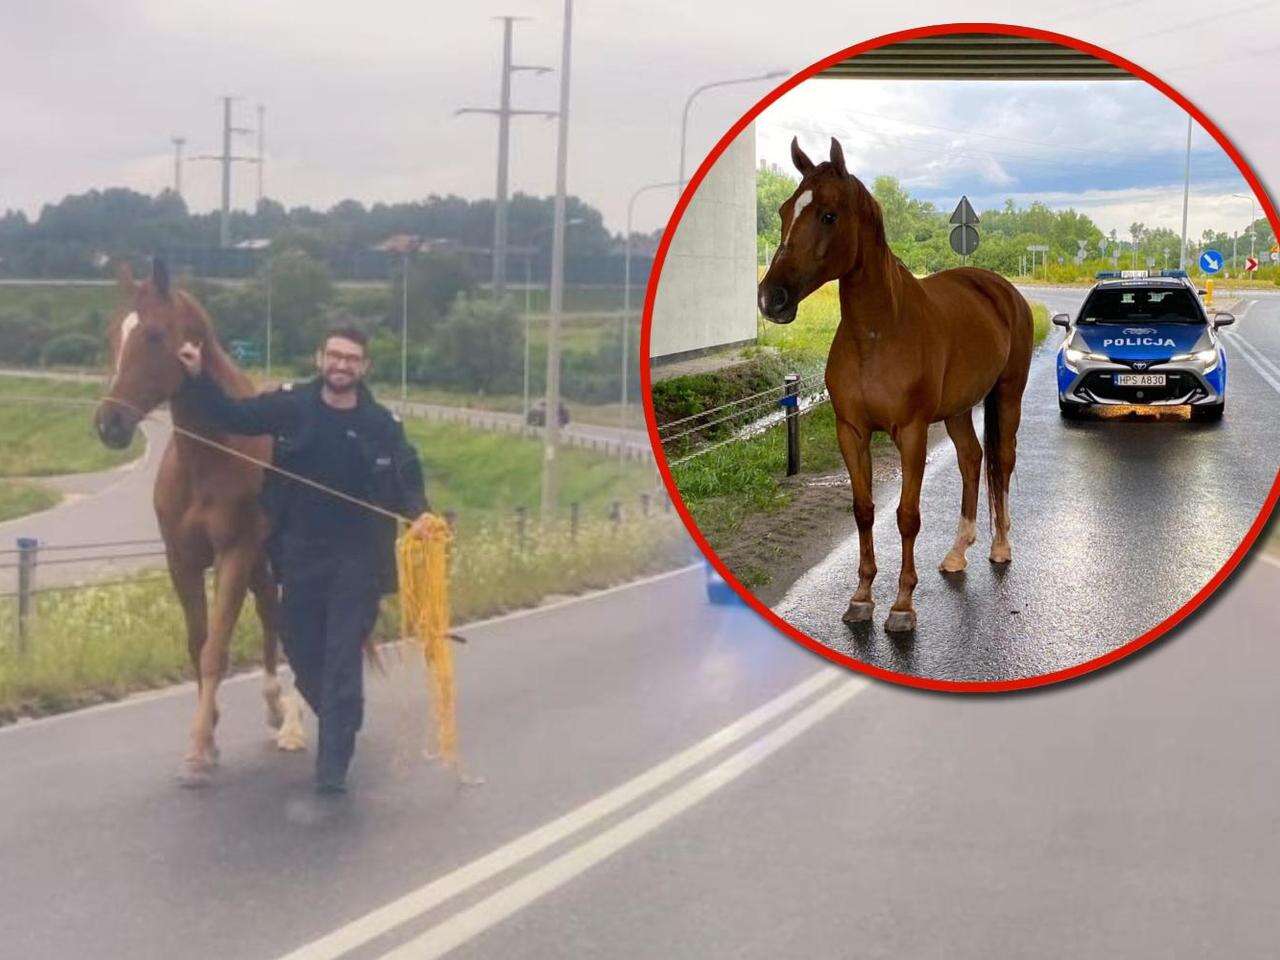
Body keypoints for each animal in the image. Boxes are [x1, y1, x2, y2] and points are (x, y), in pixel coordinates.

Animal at [94, 259, 304, 783]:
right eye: (113, 333)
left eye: (153, 335)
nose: (109, 424)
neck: (213, 453)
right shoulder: (183, 560)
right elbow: (197, 643)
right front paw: (208, 732)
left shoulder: (234, 554)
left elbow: (216, 649)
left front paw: (198, 745)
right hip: (261, 563)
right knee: (271, 613)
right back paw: (275, 708)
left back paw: (292, 721)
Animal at [757, 135, 1029, 632]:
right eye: (786, 210)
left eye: (828, 215)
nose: (772, 298)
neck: (878, 333)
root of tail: (1000, 289)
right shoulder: (851, 432)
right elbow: (864, 511)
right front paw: (861, 598)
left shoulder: (912, 433)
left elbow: (906, 516)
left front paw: (902, 605)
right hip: (958, 410)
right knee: (972, 459)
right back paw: (957, 553)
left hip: (1007, 396)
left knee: (1002, 461)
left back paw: (1000, 547)